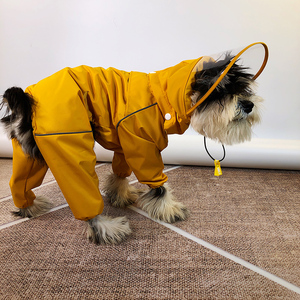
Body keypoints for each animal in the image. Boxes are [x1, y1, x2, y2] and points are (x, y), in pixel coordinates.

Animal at [0, 44, 268, 245]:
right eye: (219, 90)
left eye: (243, 86)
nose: (248, 104)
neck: (161, 98)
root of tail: (27, 99)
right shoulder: (144, 147)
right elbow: (158, 183)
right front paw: (168, 209)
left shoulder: (126, 144)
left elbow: (120, 172)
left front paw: (121, 195)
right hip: (69, 146)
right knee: (83, 196)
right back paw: (106, 227)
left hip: (31, 155)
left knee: (19, 185)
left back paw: (30, 207)